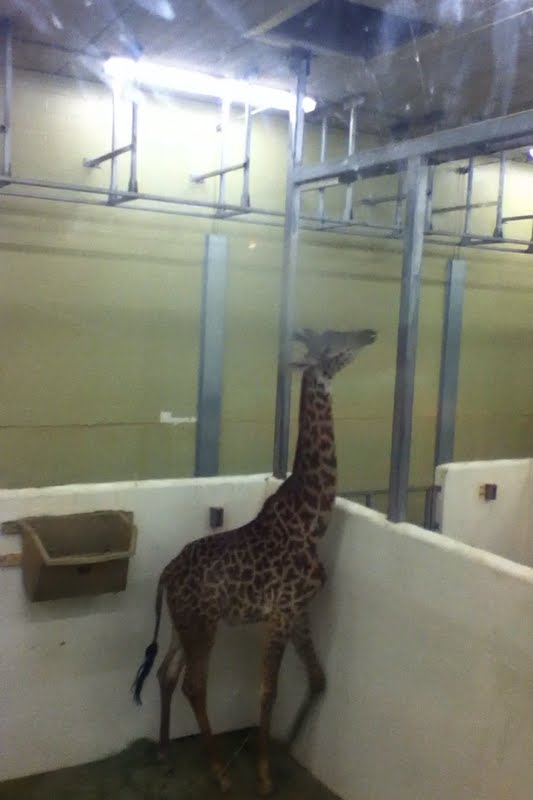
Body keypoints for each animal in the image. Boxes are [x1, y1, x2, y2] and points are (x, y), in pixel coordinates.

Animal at [131, 325, 377, 796]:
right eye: (332, 342)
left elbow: (318, 677)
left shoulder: (299, 610)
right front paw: (263, 774)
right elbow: (268, 692)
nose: (369, 333)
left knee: (166, 673)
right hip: (204, 623)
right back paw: (219, 771)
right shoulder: (280, 612)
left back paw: (166, 753)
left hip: (182, 623)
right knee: (193, 684)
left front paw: (287, 746)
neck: (312, 521)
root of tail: (166, 574)